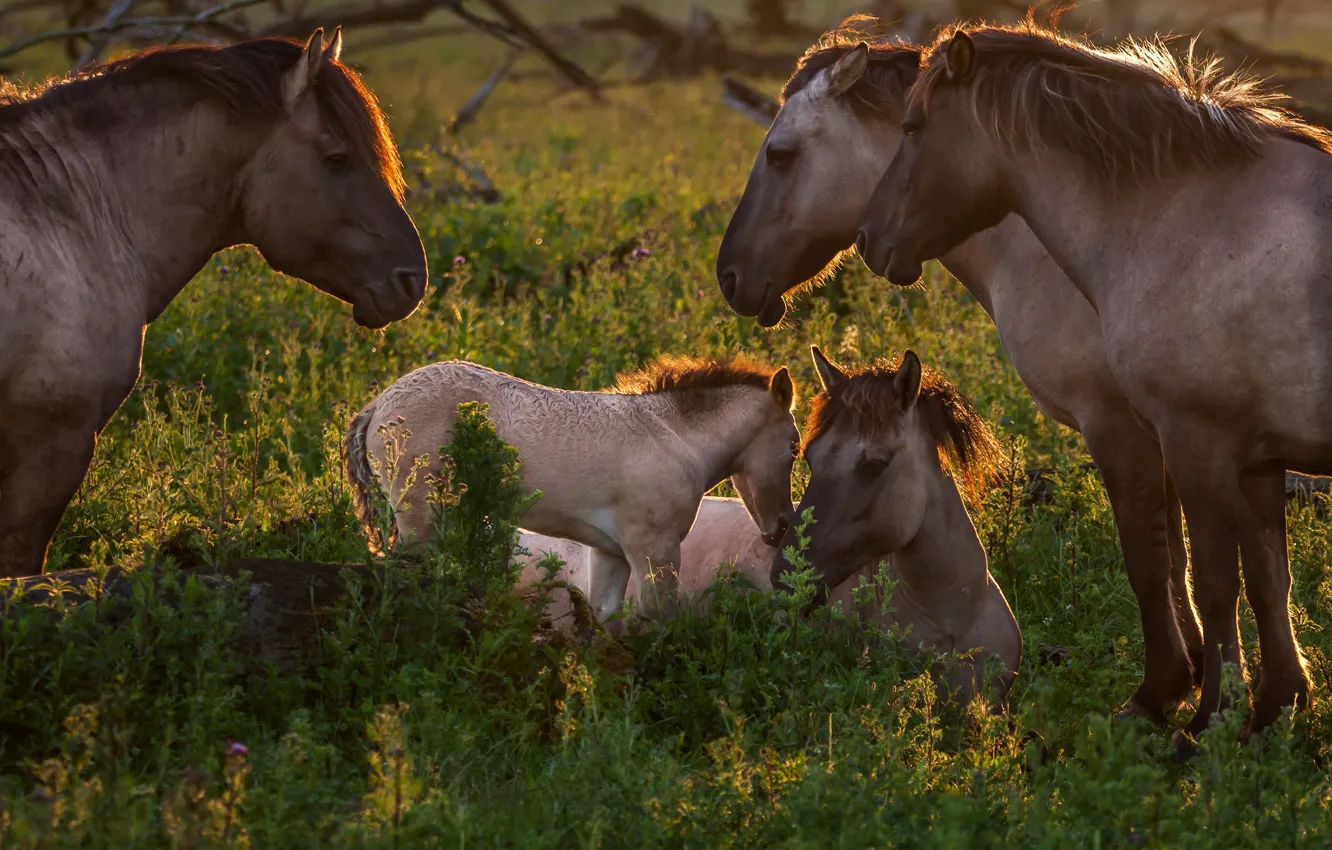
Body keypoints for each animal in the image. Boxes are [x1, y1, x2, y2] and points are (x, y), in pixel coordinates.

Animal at [342, 356, 799, 621]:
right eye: (795, 447)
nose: (781, 529)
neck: (673, 435)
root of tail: (377, 406)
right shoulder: (656, 550)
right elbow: (659, 619)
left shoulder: (612, 553)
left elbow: (604, 622)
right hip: (421, 520)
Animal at [713, 22, 1198, 723]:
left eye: (780, 154)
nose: (729, 276)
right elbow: (1186, 559)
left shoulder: (1121, 423)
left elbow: (1156, 559)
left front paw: (1167, 694)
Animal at [855, 20, 1332, 738]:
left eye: (913, 127)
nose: (868, 237)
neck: (1189, 216)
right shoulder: (1256, 458)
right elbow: (1268, 579)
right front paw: (1275, 709)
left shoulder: (1195, 443)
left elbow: (1211, 582)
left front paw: (1203, 721)